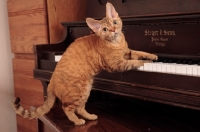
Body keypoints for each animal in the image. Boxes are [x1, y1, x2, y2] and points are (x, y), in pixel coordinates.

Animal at [13, 2, 158, 125]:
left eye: (115, 22)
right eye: (105, 30)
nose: (113, 30)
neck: (117, 42)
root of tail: (51, 83)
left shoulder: (127, 52)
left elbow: (139, 52)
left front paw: (152, 56)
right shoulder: (117, 64)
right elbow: (134, 61)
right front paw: (146, 62)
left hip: (86, 90)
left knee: (79, 108)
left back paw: (90, 116)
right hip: (78, 91)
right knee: (67, 108)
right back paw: (77, 121)